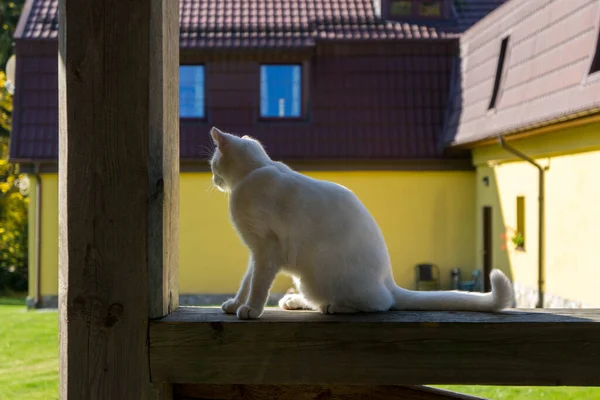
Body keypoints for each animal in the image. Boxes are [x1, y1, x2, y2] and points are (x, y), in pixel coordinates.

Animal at [209, 126, 512, 320]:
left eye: (213, 164)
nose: (213, 178)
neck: (255, 171)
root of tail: (388, 280)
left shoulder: (266, 249)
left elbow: (258, 285)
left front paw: (251, 309)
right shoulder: (256, 252)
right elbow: (246, 282)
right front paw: (235, 304)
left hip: (317, 278)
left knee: (381, 304)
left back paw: (334, 307)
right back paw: (294, 301)